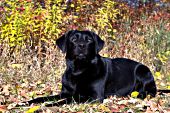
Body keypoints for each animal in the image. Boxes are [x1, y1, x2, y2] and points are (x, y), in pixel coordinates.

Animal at [26, 30, 157, 106]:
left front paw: (48, 106)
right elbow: (43, 97)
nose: (81, 45)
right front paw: (27, 102)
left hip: (143, 70)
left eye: (88, 40)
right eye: (73, 39)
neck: (79, 70)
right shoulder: (65, 93)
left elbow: (71, 99)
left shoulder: (95, 97)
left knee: (150, 92)